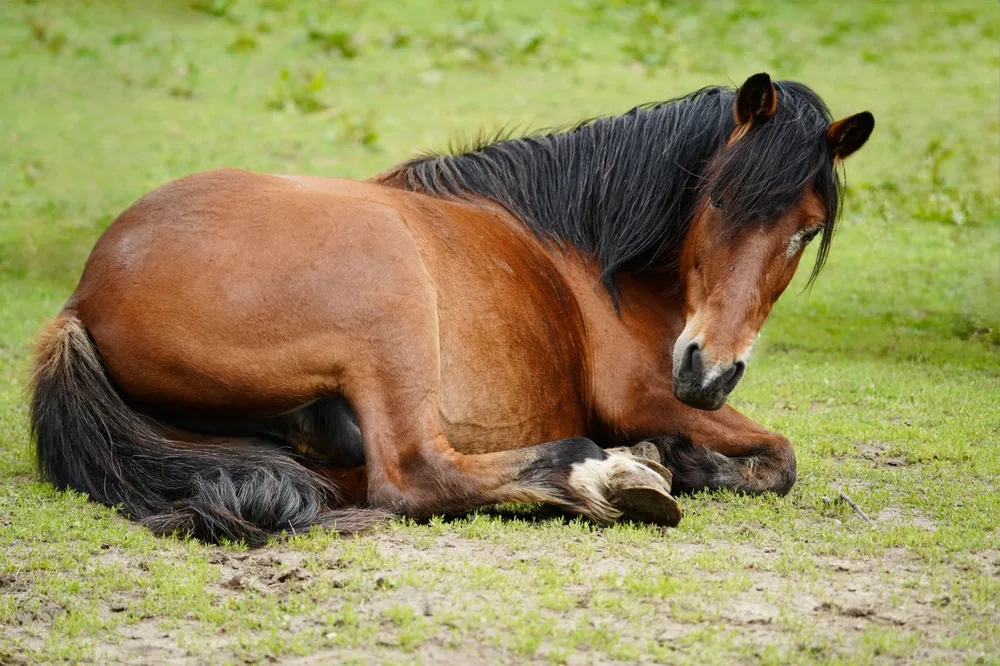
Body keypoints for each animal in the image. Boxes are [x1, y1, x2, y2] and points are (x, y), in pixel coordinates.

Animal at [31, 73, 874, 545]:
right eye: (720, 198)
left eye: (802, 231)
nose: (709, 374)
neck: (579, 242)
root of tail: (83, 296)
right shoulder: (640, 393)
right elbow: (782, 458)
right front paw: (680, 458)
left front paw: (681, 457)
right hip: (391, 304)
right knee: (415, 477)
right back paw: (608, 477)